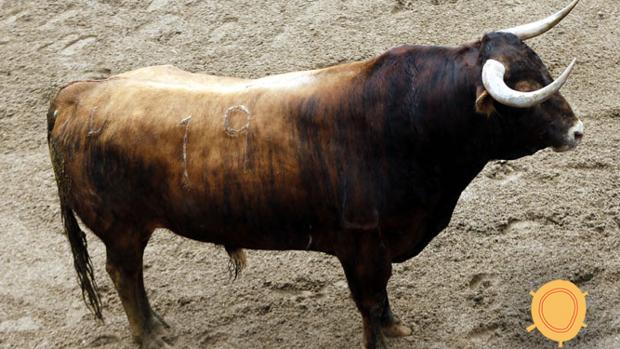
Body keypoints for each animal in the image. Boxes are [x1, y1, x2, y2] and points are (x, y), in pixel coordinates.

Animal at [49, 1, 588, 346]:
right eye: (523, 90)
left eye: (541, 68)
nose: (577, 130)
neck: (409, 123)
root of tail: (78, 94)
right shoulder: (361, 246)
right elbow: (369, 299)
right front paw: (380, 338)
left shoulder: (378, 246)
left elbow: (381, 297)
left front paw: (396, 327)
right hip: (123, 230)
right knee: (125, 274)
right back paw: (151, 334)